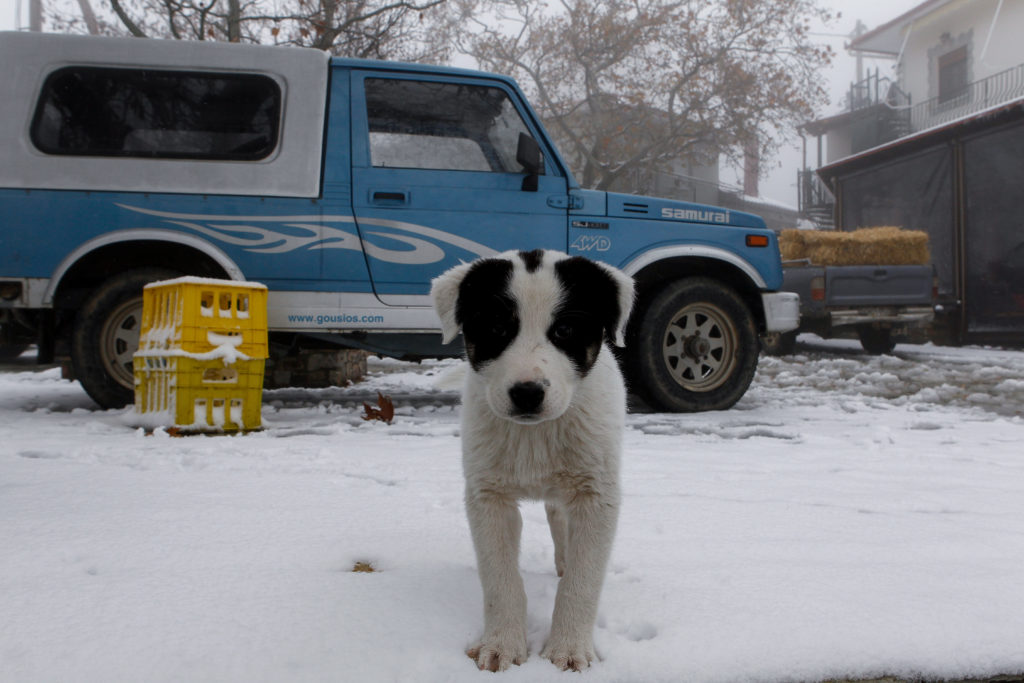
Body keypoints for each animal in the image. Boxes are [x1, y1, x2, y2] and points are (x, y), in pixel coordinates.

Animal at [430, 248, 630, 671]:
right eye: (495, 327)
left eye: (565, 331)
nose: (527, 393)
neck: (535, 434)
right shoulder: (488, 497)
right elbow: (500, 580)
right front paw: (501, 646)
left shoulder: (597, 495)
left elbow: (583, 582)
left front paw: (569, 649)